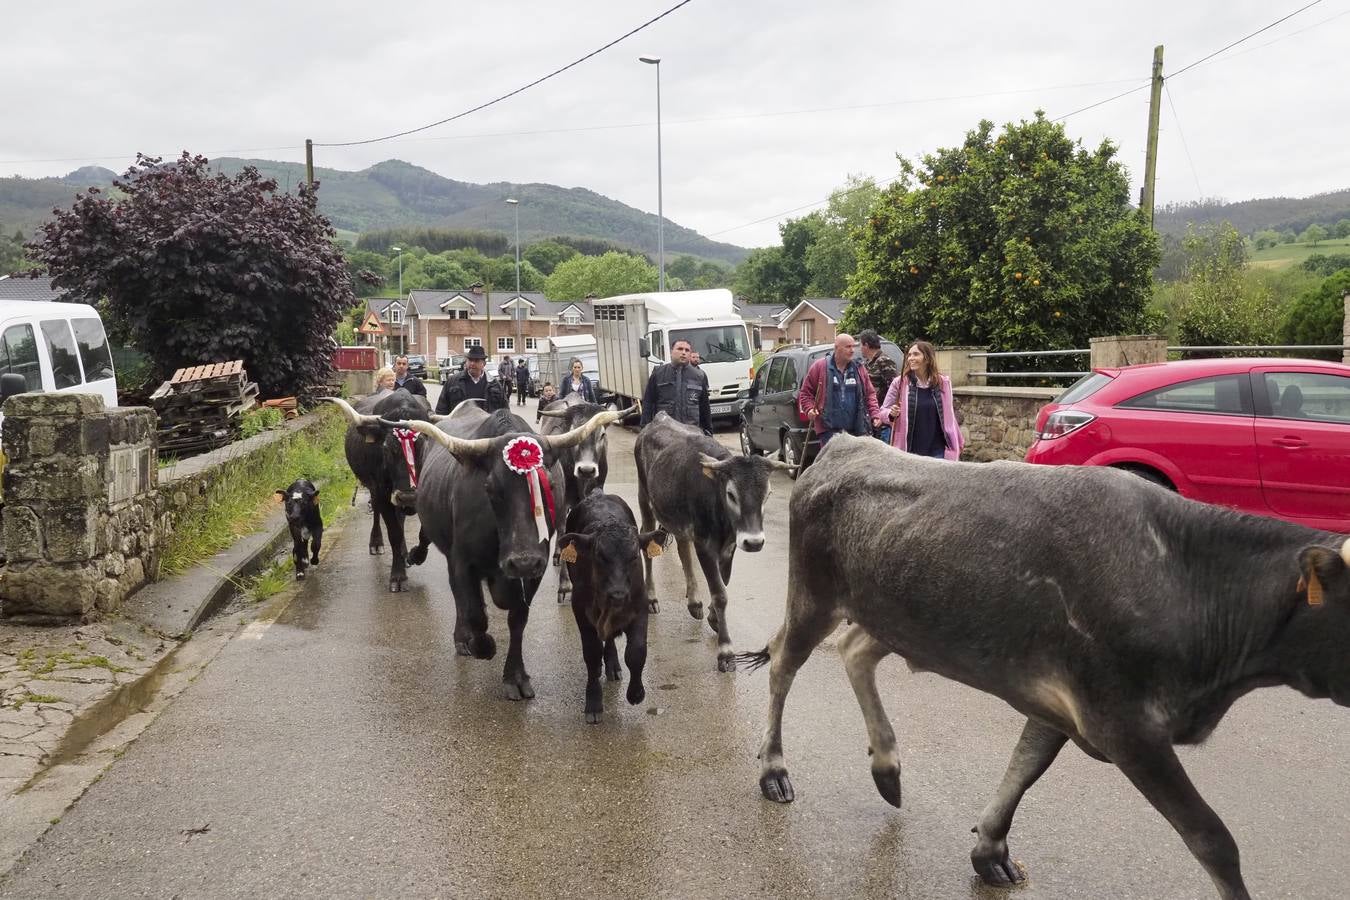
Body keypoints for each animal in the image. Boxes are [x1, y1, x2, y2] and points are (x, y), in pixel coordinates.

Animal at [324, 388, 434, 591]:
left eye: (423, 446)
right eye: (387, 449)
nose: (408, 497)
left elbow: (424, 533)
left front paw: (415, 555)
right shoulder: (383, 493)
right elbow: (394, 534)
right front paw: (398, 577)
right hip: (374, 489)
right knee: (377, 511)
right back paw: (376, 544)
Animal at [394, 402, 618, 701]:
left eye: (549, 484)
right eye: (490, 488)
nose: (522, 562)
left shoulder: (536, 569)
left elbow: (517, 620)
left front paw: (516, 676)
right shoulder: (462, 561)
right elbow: (475, 613)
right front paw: (482, 645)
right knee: (460, 599)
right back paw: (461, 637)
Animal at [631, 412, 788, 671]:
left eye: (767, 494)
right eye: (731, 494)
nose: (754, 542)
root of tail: (659, 418)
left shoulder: (729, 547)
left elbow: (723, 584)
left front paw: (713, 617)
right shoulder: (705, 546)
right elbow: (720, 593)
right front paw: (726, 651)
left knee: (683, 548)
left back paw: (694, 602)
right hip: (645, 498)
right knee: (648, 544)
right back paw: (652, 598)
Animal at [745, 431, 1350, 895]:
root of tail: (844, 443)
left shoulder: (1063, 700)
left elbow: (1027, 764)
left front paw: (990, 850)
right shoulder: (1123, 725)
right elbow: (1212, 839)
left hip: (897, 616)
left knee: (854, 652)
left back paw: (887, 767)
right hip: (815, 596)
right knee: (782, 665)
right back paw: (774, 769)